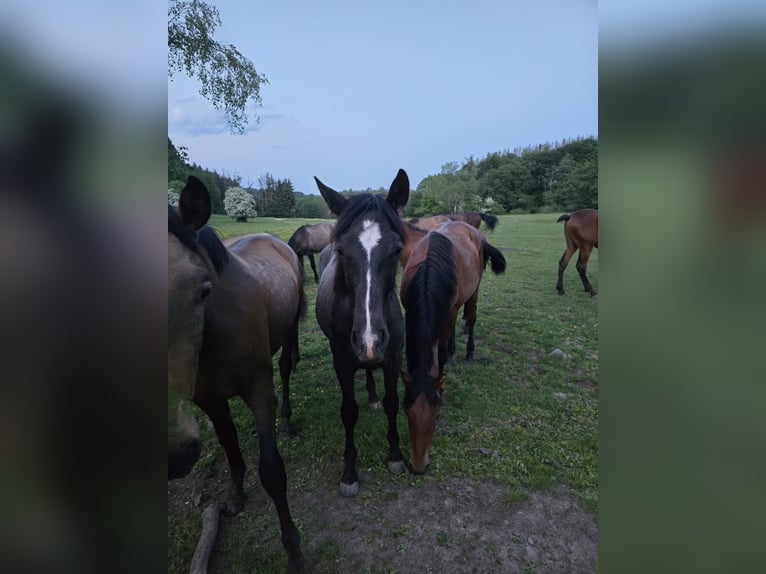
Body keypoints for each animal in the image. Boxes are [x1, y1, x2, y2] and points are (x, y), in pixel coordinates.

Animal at [168, 175, 306, 572]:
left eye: (203, 288)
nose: (176, 456)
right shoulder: (208, 399)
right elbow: (229, 443)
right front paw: (235, 494)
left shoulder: (259, 390)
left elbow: (272, 472)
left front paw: (294, 553)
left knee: (287, 369)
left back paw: (288, 422)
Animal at [314, 169, 410, 496]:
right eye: (343, 250)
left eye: (397, 249)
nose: (370, 341)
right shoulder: (342, 362)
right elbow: (348, 412)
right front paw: (349, 473)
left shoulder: (393, 357)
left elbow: (393, 403)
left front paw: (396, 455)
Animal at [399, 220, 506, 473]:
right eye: (406, 411)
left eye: (437, 415)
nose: (418, 466)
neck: (427, 272)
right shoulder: (410, 312)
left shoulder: (449, 312)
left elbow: (439, 352)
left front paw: (443, 386)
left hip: (472, 292)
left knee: (471, 317)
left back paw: (468, 352)